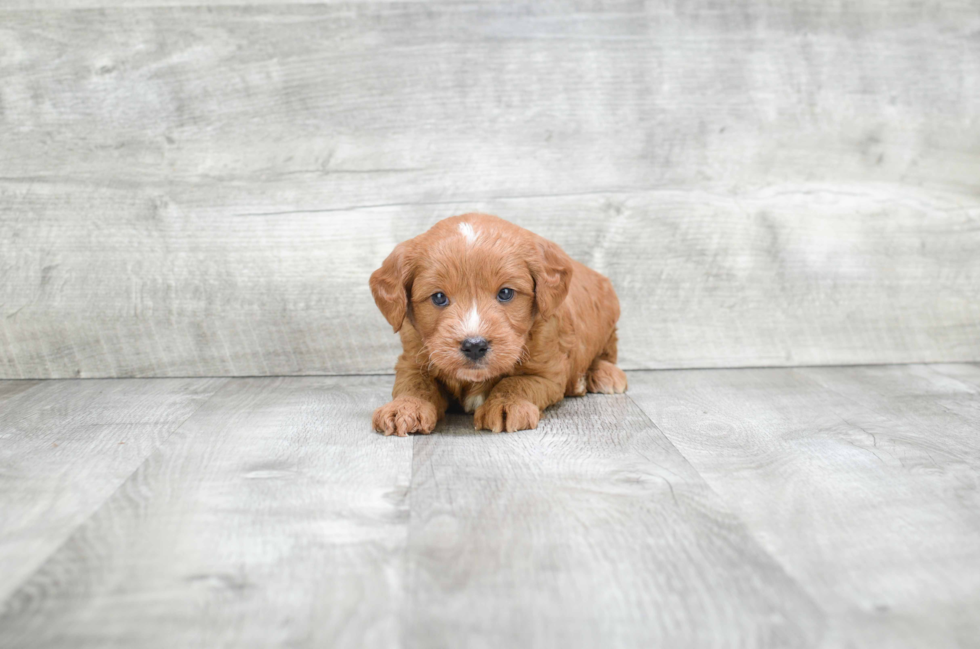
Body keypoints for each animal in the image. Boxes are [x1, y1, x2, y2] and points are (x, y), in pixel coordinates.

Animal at [368, 214, 628, 436]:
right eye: (439, 297)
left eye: (505, 293)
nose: (474, 345)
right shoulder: (412, 360)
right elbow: (415, 383)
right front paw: (404, 407)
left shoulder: (547, 371)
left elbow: (516, 382)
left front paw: (506, 405)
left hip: (608, 321)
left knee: (606, 353)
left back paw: (602, 375)